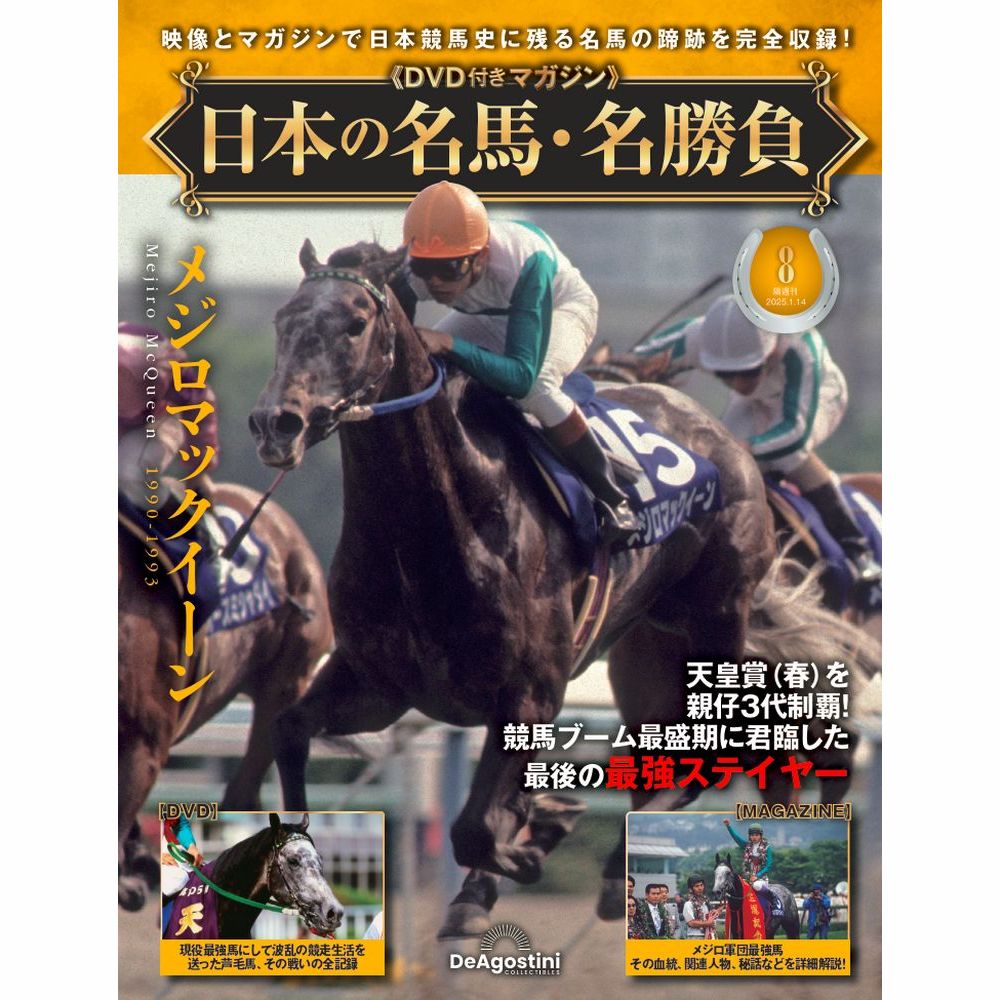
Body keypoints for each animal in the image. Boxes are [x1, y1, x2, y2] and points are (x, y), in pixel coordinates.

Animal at [249, 240, 879, 938]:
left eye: (356, 323)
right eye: (282, 320)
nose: (276, 423)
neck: (437, 523)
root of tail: (730, 444)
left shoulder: (529, 696)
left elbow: (475, 828)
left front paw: (527, 845)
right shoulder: (379, 685)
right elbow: (290, 730)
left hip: (718, 625)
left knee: (724, 755)